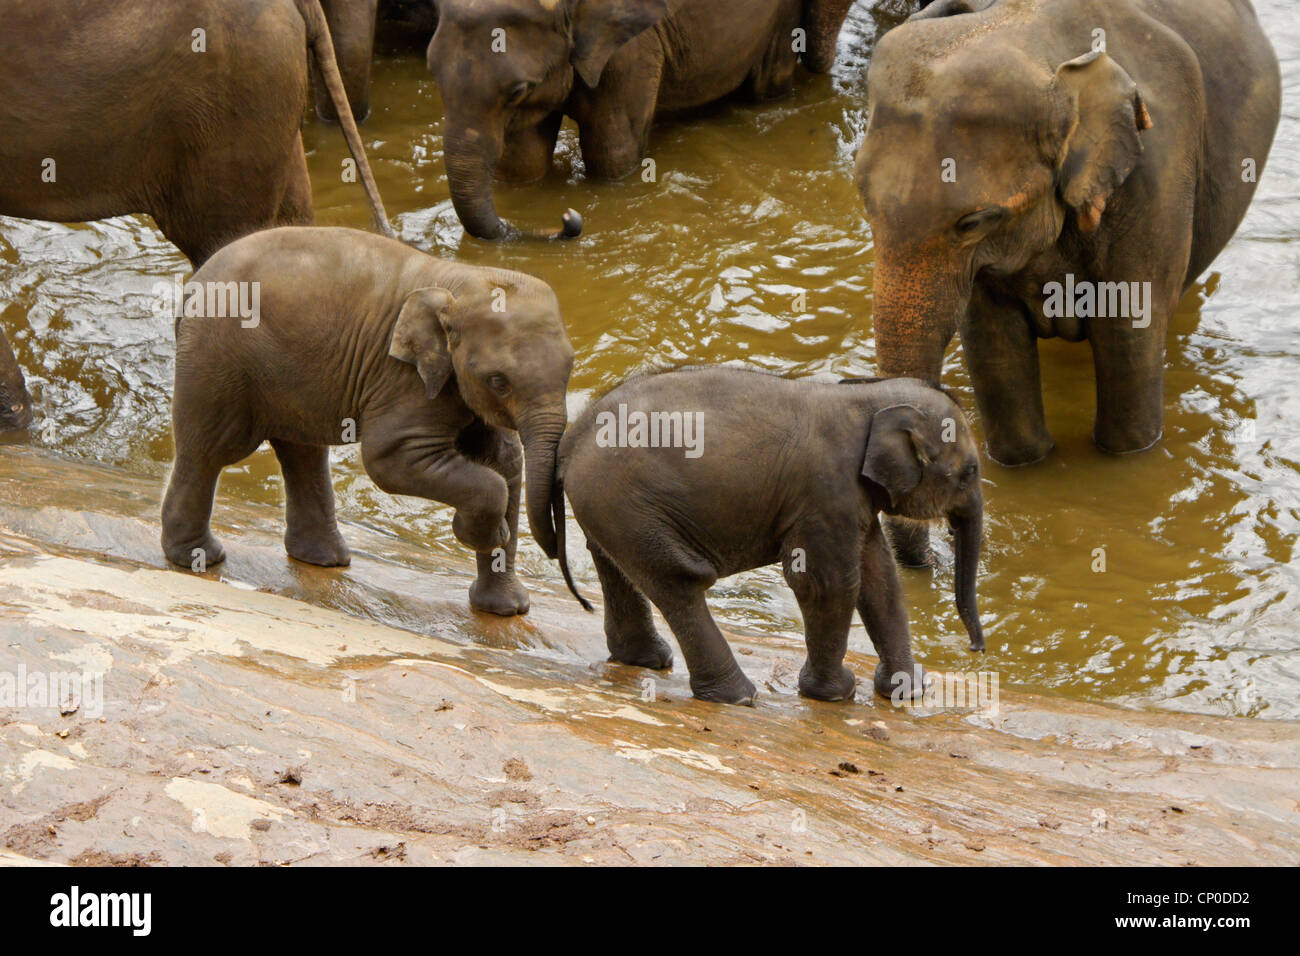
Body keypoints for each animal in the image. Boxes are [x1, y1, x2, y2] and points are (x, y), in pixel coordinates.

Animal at [161, 226, 574, 617]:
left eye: (570, 370)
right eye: (498, 381)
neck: (459, 280)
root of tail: (194, 284)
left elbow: (506, 463)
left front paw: (507, 609)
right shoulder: (403, 378)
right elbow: (388, 459)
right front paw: (481, 533)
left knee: (301, 452)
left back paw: (324, 559)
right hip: (217, 357)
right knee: (211, 450)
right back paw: (200, 559)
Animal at [428, 0, 857, 240]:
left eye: (518, 90)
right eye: (431, 69)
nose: (567, 218)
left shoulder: (631, 48)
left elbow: (611, 153)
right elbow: (524, 161)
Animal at [553, 368, 984, 705]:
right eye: (970, 472)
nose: (976, 649)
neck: (862, 397)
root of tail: (571, 440)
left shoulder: (852, 500)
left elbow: (881, 578)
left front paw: (908, 690)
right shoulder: (825, 493)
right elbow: (827, 583)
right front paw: (837, 693)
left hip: (609, 510)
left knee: (614, 565)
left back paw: (647, 660)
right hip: (628, 507)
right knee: (679, 581)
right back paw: (738, 696)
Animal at [854, 0, 1280, 565]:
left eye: (973, 222)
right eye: (863, 198)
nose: (937, 558)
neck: (1037, 42)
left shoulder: (1155, 182)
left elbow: (1129, 346)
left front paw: (1125, 464)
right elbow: (996, 351)